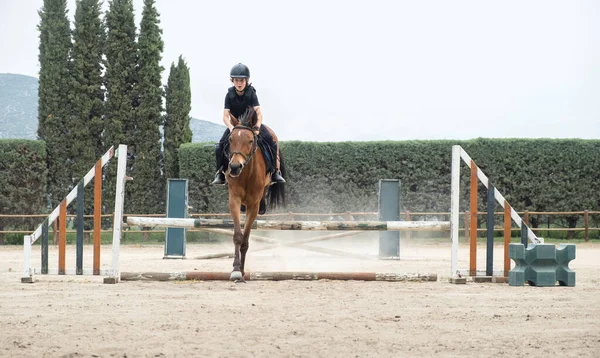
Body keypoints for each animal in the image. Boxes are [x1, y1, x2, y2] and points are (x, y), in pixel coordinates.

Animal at [225, 107, 286, 282]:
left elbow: (245, 240)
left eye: (251, 141)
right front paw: (236, 270)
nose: (234, 167)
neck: (246, 173)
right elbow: (238, 236)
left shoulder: (253, 205)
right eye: (230, 139)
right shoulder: (234, 200)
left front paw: (242, 271)